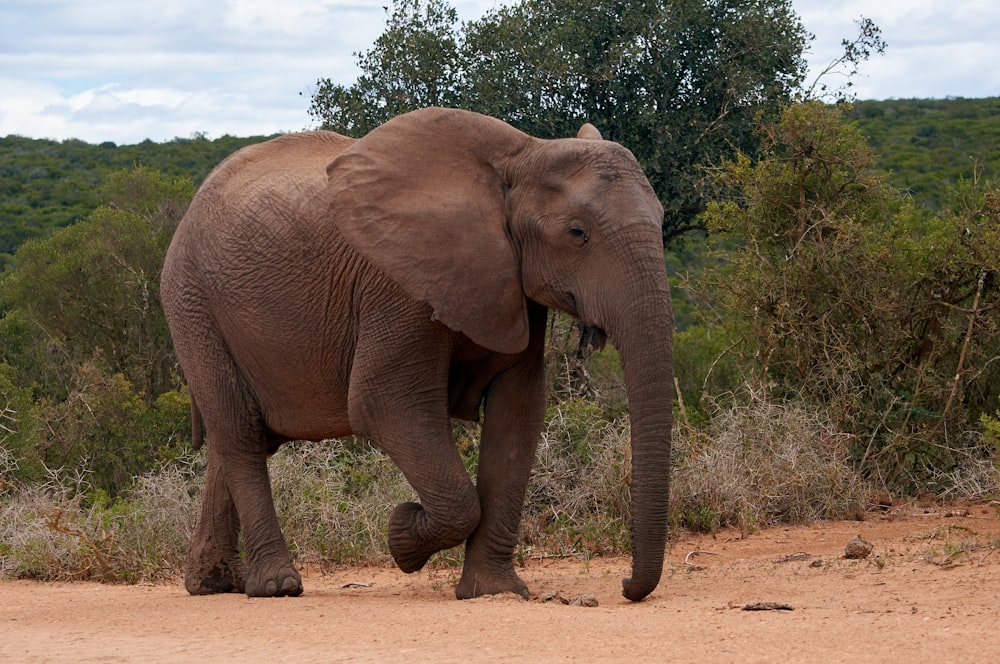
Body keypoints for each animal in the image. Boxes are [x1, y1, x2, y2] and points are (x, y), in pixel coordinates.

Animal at [162, 107, 672, 600]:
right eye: (577, 233)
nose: (624, 587)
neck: (524, 154)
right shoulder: (398, 289)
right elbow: (385, 405)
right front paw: (402, 535)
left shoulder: (513, 288)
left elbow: (518, 415)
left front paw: (494, 592)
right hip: (192, 304)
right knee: (240, 433)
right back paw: (276, 587)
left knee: (238, 437)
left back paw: (214, 585)